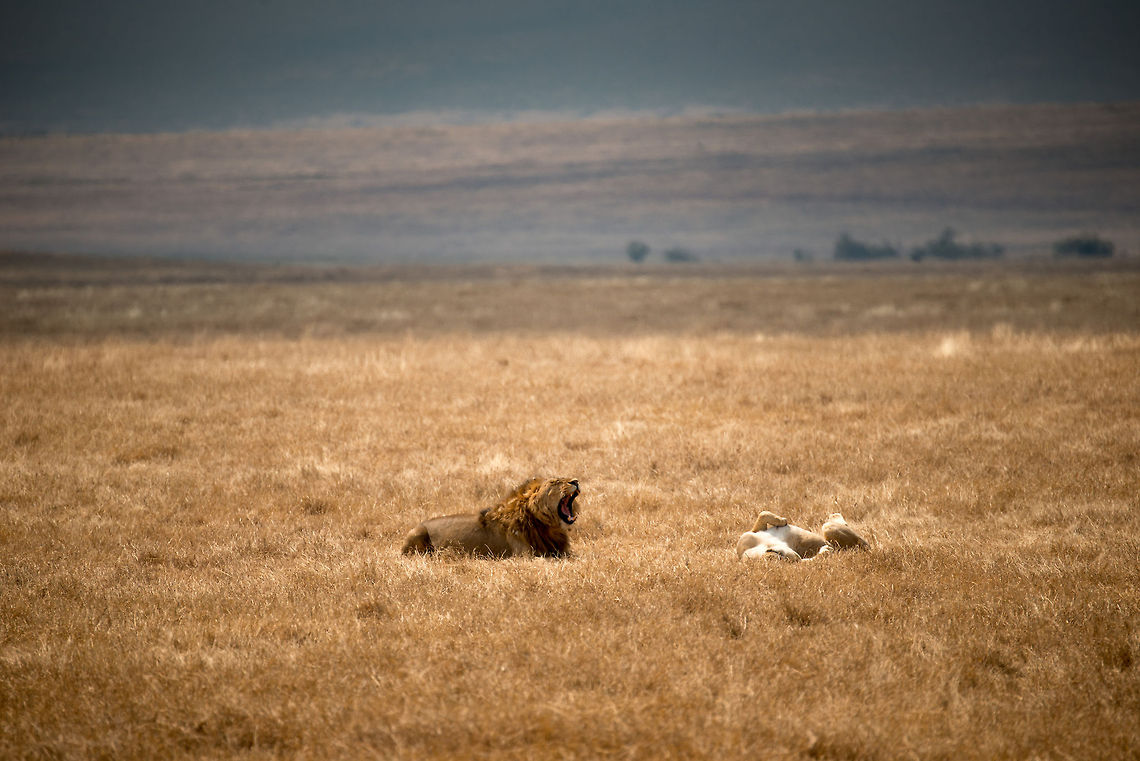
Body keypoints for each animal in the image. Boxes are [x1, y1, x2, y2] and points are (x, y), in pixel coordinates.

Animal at [736, 510, 870, 562]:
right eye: (786, 559)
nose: (796, 556)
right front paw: (825, 551)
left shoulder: (751, 534)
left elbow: (763, 514)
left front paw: (782, 521)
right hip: (829, 529)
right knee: (862, 544)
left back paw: (835, 515)